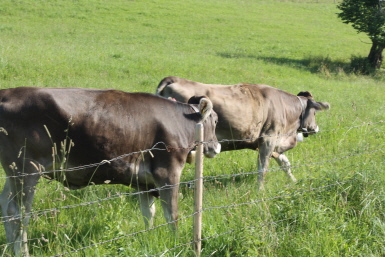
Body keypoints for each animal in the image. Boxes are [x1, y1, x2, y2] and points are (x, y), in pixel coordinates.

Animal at [0, 87, 219, 255]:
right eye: (216, 120)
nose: (217, 146)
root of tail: (7, 93)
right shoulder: (168, 172)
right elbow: (171, 214)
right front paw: (177, 241)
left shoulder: (143, 181)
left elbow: (148, 213)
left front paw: (149, 236)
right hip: (26, 169)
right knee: (18, 213)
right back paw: (22, 252)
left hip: (14, 172)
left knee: (6, 205)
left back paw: (10, 250)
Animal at [156, 75, 330, 189]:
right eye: (315, 113)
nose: (316, 128)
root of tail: (174, 78)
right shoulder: (269, 138)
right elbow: (263, 167)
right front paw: (260, 190)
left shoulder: (273, 143)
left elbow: (285, 163)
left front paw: (293, 180)